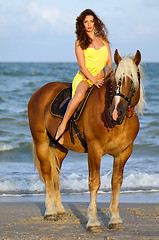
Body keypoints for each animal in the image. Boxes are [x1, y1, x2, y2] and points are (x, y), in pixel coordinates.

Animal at [28, 49, 145, 232]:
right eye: (114, 82)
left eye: (133, 82)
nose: (116, 113)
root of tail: (40, 92)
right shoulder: (94, 150)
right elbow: (94, 183)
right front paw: (93, 222)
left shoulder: (124, 153)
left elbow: (116, 182)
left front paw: (115, 219)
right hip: (41, 142)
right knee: (47, 173)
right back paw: (50, 211)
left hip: (60, 148)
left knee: (55, 174)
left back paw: (59, 209)